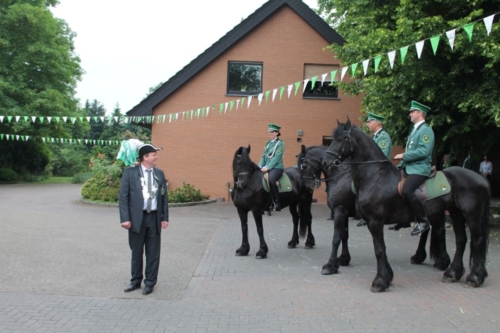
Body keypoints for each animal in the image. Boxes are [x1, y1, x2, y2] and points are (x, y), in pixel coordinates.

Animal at [296, 145, 450, 274]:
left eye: (304, 165)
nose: (308, 186)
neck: (341, 177)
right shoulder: (344, 213)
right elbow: (344, 236)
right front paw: (344, 258)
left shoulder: (340, 211)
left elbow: (337, 238)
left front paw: (331, 265)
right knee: (429, 230)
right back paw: (420, 257)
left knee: (438, 231)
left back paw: (441, 262)